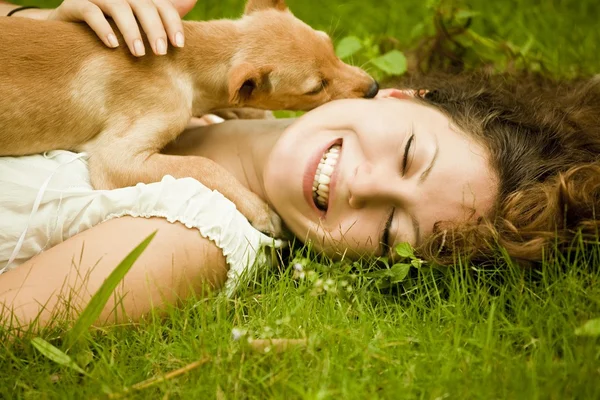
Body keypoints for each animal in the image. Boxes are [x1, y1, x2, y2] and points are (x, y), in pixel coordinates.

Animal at [0, 0, 378, 236]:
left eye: (331, 47)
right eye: (316, 88)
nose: (374, 88)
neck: (182, 59)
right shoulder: (113, 159)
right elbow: (201, 165)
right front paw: (258, 209)